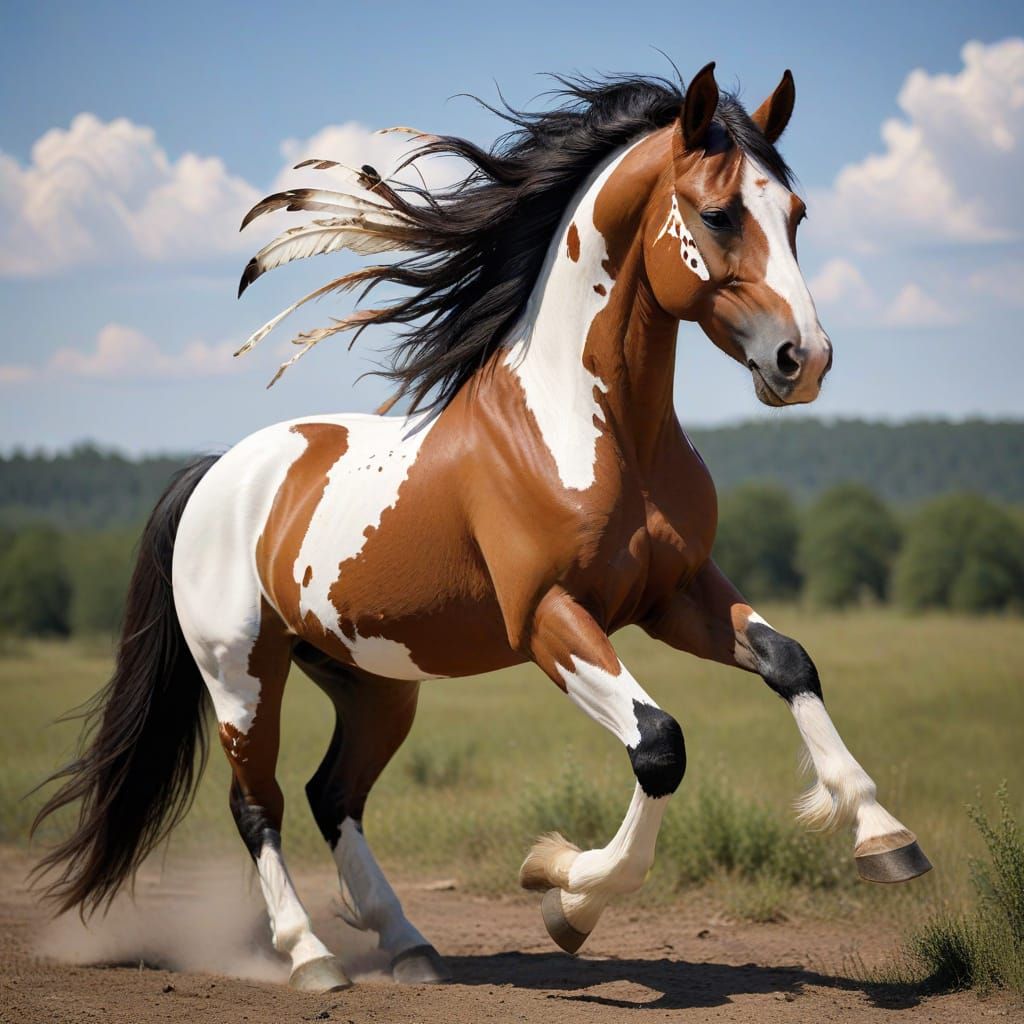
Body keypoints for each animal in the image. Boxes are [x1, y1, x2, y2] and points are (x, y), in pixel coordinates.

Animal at [33, 63, 930, 993]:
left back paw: (410, 944)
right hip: (241, 674)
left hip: (374, 682)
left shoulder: (677, 594)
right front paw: (563, 893)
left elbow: (790, 662)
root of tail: (215, 472)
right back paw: (313, 957)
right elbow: (659, 745)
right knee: (259, 804)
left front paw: (884, 838)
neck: (588, 428)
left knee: (332, 795)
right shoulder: (547, 618)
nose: (805, 359)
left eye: (795, 214)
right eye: (718, 214)